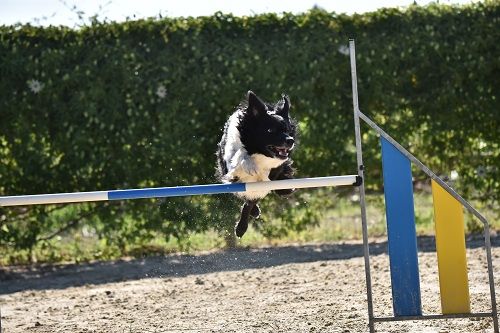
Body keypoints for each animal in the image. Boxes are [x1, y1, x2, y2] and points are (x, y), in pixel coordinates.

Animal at [216, 91, 296, 236]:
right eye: (270, 130)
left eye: (287, 130)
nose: (290, 140)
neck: (258, 153)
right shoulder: (231, 172)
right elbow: (240, 160)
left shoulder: (266, 180)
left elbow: (250, 201)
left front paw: (241, 227)